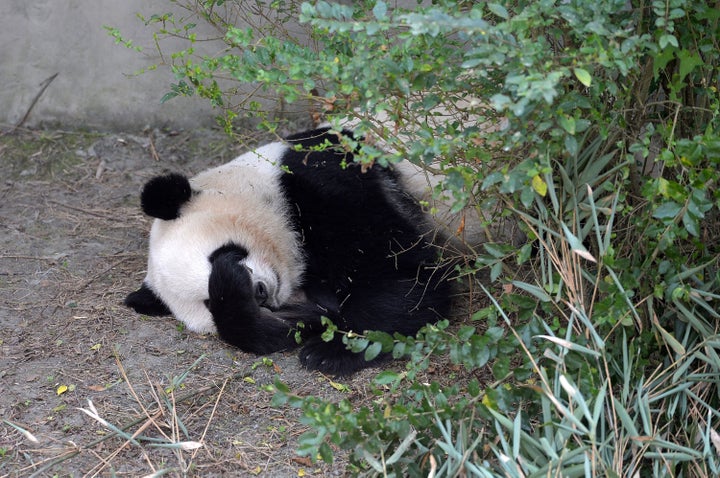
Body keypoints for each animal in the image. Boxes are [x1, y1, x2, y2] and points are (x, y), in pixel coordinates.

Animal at [124, 128, 450, 378]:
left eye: (219, 254)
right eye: (207, 302)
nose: (259, 293)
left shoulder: (328, 182)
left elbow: (398, 269)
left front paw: (333, 351)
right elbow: (280, 328)